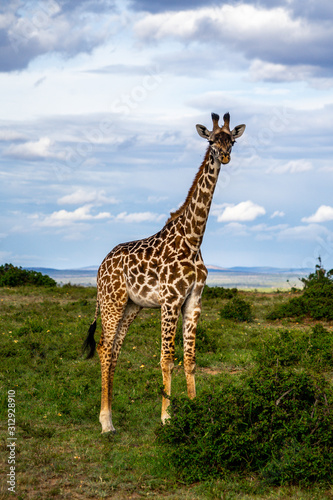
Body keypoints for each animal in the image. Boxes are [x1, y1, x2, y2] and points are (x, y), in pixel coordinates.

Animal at [83, 111, 244, 432]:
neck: (193, 239)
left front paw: (195, 410)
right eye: (211, 140)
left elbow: (190, 358)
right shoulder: (170, 300)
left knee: (115, 351)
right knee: (105, 348)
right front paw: (167, 417)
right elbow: (166, 358)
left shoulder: (194, 300)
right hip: (111, 301)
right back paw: (105, 422)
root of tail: (100, 265)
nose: (224, 156)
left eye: (231, 140)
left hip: (131, 306)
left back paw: (111, 416)